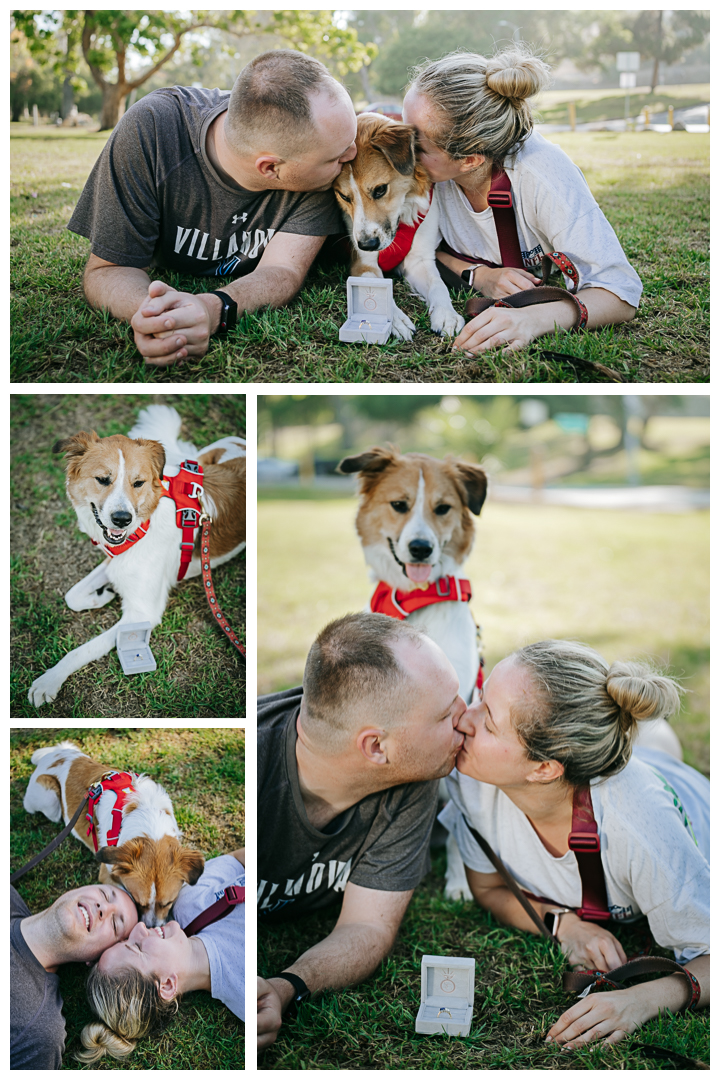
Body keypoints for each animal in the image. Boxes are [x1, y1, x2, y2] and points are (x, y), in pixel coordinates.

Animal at [23, 743, 204, 928]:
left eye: (168, 903)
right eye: (138, 902)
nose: (151, 927)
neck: (147, 815)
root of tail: (51, 755)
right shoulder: (106, 872)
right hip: (50, 800)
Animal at [26, 406, 246, 708]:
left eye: (138, 483)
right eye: (103, 479)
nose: (122, 519)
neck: (144, 523)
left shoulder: (141, 613)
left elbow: (83, 650)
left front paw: (50, 680)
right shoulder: (115, 561)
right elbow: (72, 595)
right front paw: (101, 596)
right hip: (198, 461)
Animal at [334, 113, 464, 341]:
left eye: (380, 190)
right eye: (344, 196)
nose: (367, 245)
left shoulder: (418, 260)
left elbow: (438, 285)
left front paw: (447, 314)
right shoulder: (363, 265)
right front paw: (395, 320)